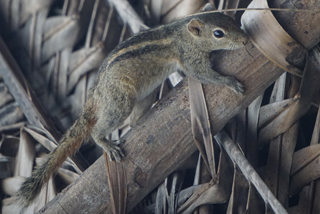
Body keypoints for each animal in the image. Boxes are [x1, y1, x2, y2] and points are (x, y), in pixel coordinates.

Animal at [16, 2, 248, 211]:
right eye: (218, 33)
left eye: (230, 19)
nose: (245, 39)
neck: (184, 33)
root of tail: (95, 96)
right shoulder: (190, 59)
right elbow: (203, 74)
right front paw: (229, 82)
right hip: (120, 103)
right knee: (98, 130)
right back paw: (106, 143)